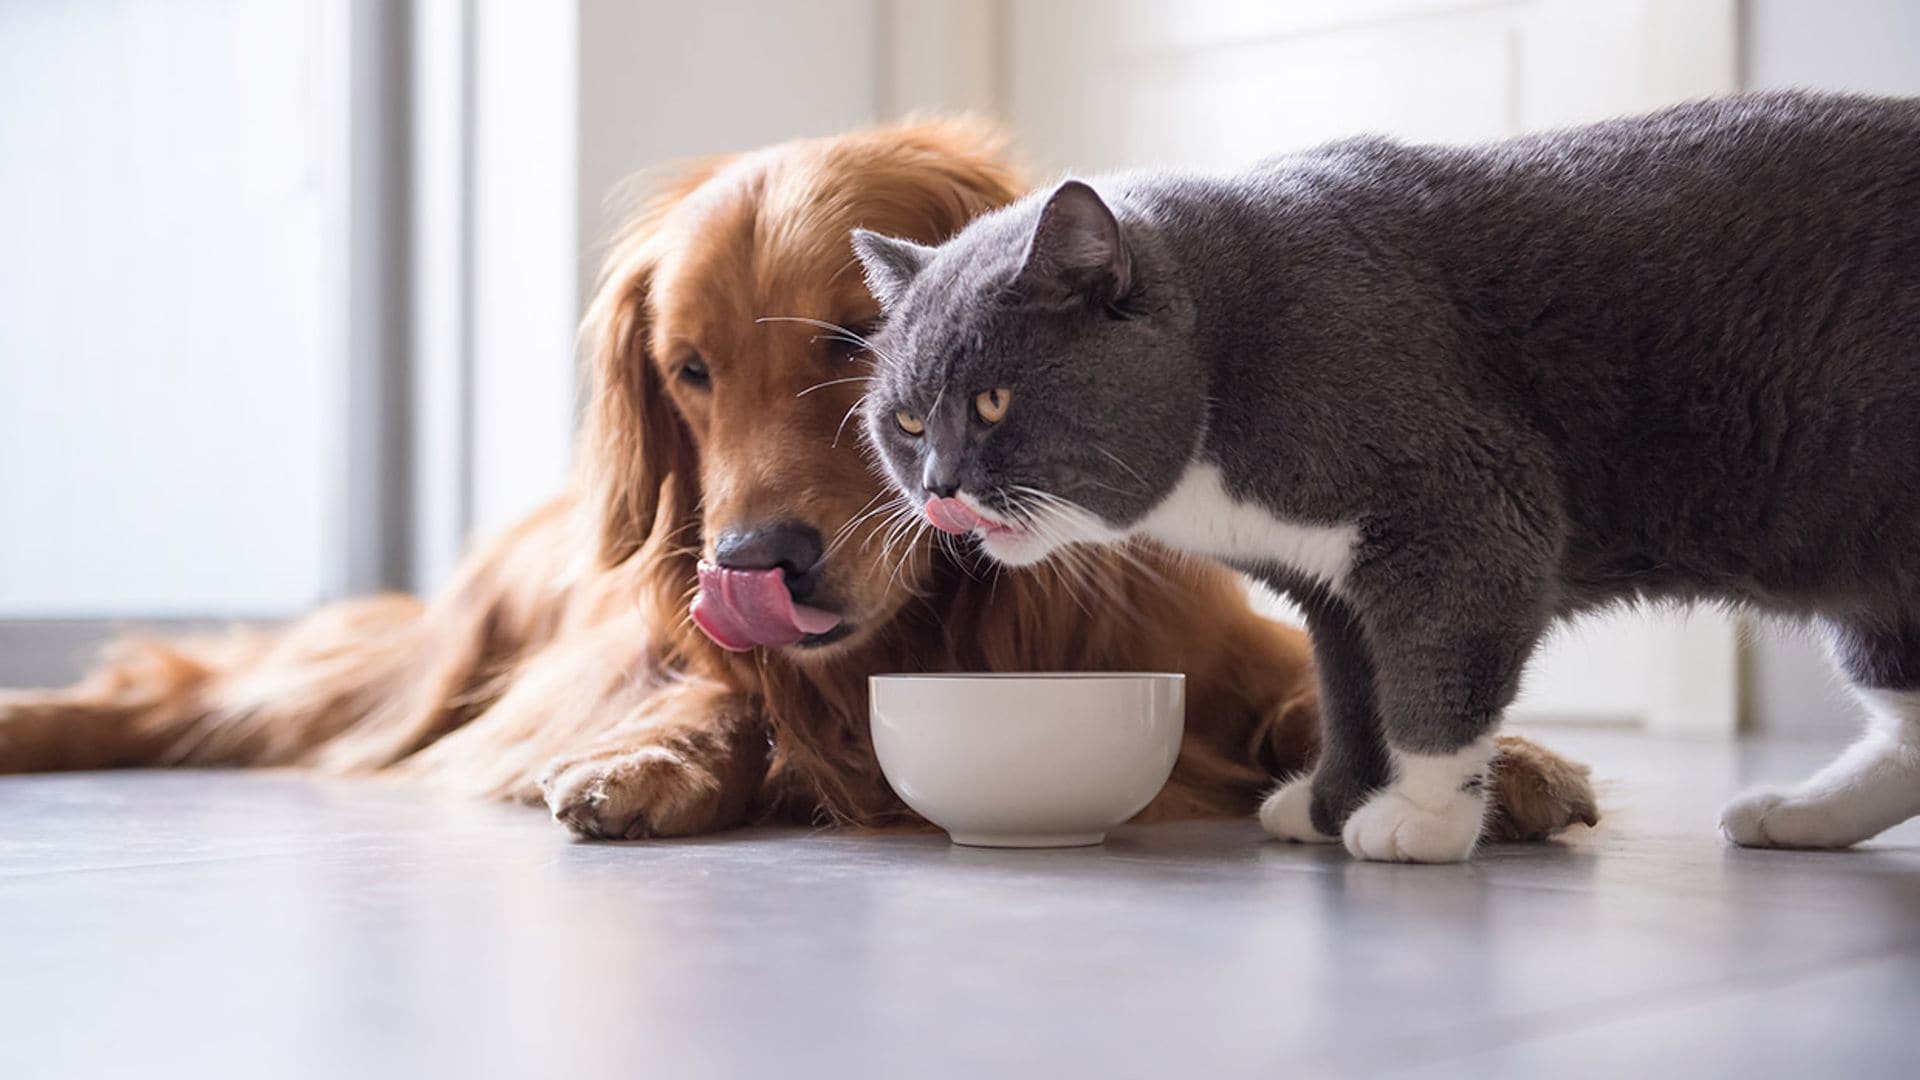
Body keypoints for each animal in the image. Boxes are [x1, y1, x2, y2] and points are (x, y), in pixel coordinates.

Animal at [0, 119, 1597, 841]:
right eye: (688, 370)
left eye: (849, 342)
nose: (754, 563)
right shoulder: (681, 647)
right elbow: (722, 703)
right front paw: (650, 764)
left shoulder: (1207, 645)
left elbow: (1321, 689)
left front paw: (1506, 763)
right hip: (425, 662)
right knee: (200, 696)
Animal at [856, 92, 1920, 860]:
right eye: (904, 423)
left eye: (994, 403)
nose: (940, 485)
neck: (1233, 354)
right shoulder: (1329, 582)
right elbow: (1350, 690)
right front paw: (1332, 801)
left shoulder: (1464, 509)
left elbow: (1431, 677)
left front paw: (1426, 819)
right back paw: (1798, 816)